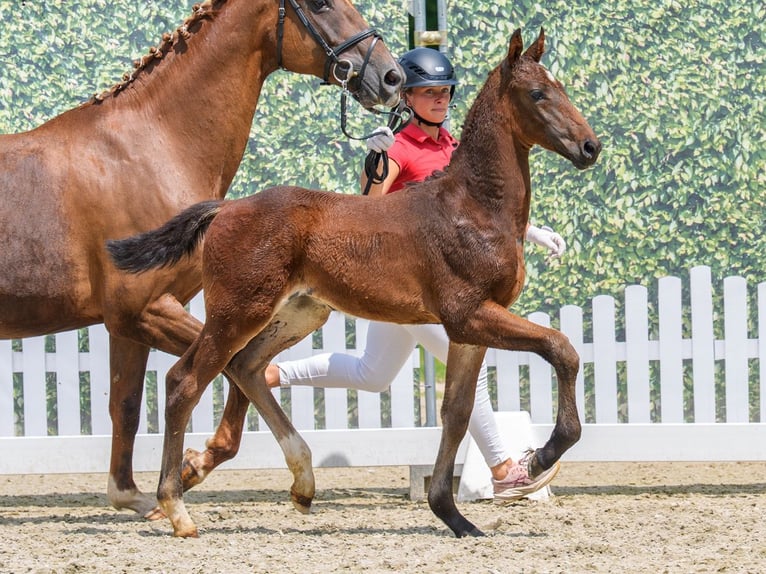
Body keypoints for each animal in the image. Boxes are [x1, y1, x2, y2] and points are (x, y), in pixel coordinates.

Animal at [0, 0, 401, 519]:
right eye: (319, 4)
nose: (391, 75)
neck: (151, 147)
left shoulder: (126, 324)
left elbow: (127, 404)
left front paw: (138, 492)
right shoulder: (145, 310)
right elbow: (237, 369)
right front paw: (191, 471)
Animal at [107, 26, 601, 538]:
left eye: (562, 87)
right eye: (538, 93)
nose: (591, 147)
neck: (474, 206)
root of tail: (226, 207)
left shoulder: (470, 330)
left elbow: (458, 412)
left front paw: (454, 516)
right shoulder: (468, 315)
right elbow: (561, 348)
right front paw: (542, 455)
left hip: (298, 312)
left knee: (246, 366)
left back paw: (302, 484)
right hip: (237, 311)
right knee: (184, 381)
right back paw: (176, 507)